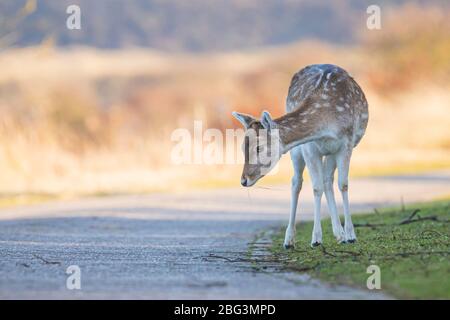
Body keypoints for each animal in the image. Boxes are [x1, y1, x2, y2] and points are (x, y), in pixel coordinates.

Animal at [234, 62, 368, 248]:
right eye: (242, 148)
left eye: (259, 147)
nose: (243, 180)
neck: (327, 122)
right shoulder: (309, 147)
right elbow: (316, 187)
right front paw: (317, 238)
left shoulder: (346, 142)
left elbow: (343, 184)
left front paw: (350, 235)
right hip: (298, 151)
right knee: (297, 182)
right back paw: (289, 239)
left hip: (331, 152)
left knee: (328, 179)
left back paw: (339, 233)